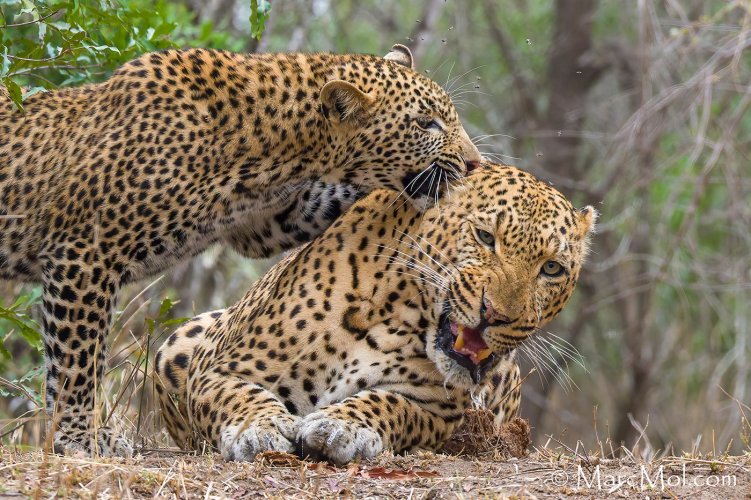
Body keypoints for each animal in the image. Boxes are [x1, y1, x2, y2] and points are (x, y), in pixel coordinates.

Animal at [156, 163, 596, 464]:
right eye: (485, 237)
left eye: (552, 268)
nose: (496, 314)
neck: (397, 315)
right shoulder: (220, 368)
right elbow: (238, 395)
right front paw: (260, 430)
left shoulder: (437, 412)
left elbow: (389, 403)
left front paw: (342, 426)